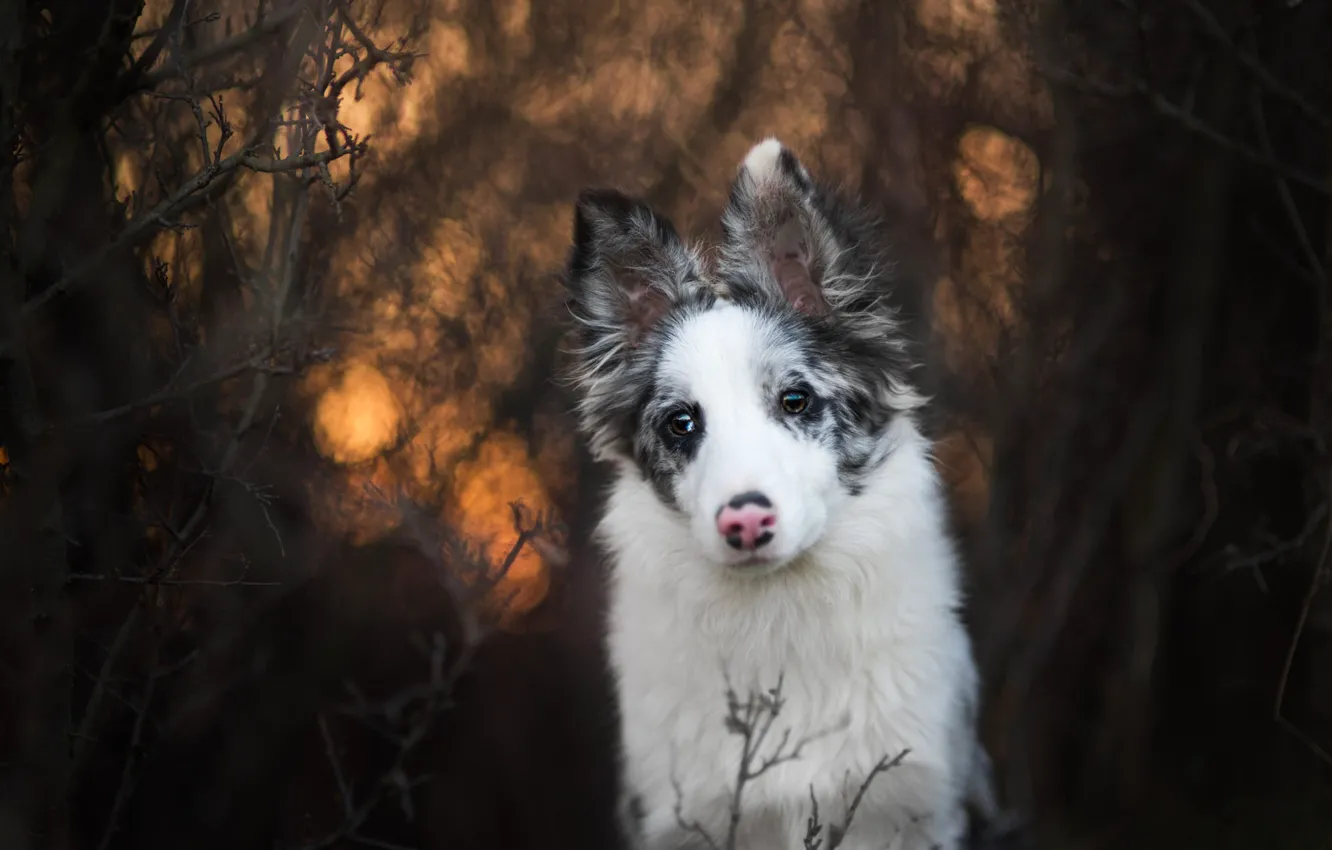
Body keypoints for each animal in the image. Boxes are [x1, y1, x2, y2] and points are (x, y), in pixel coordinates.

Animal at [556, 139, 996, 850]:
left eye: (795, 400)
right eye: (681, 424)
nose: (745, 523)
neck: (777, 617)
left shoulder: (908, 806)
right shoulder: (689, 815)